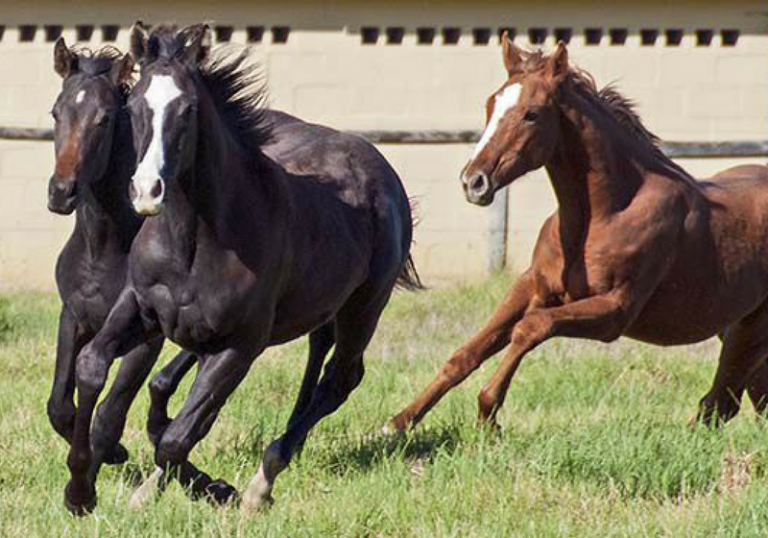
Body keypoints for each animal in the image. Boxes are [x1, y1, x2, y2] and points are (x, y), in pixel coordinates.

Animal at [62, 23, 421, 516]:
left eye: (188, 109)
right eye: (133, 105)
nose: (147, 191)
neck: (193, 244)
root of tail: (387, 177)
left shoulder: (240, 346)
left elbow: (176, 439)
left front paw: (209, 490)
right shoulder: (141, 308)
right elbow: (95, 370)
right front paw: (80, 491)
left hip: (362, 310)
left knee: (340, 379)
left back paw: (262, 481)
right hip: (322, 309)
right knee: (315, 362)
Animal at [388, 35, 768, 433]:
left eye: (531, 114)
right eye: (490, 104)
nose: (473, 182)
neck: (602, 216)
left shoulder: (614, 310)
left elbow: (531, 327)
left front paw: (487, 413)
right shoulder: (532, 285)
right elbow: (468, 351)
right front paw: (399, 422)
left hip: (751, 330)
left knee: (722, 402)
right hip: (736, 328)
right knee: (737, 398)